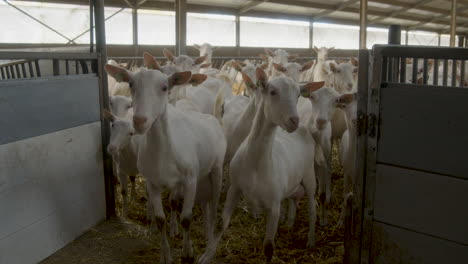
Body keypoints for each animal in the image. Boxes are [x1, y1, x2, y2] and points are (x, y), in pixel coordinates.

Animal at [103, 52, 227, 264]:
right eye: (131, 84)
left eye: (164, 87)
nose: (139, 121)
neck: (164, 152)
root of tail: (210, 118)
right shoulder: (153, 183)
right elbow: (161, 219)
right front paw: (166, 256)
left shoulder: (190, 179)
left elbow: (186, 219)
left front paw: (187, 254)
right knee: (202, 203)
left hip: (216, 168)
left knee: (214, 202)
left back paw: (209, 238)